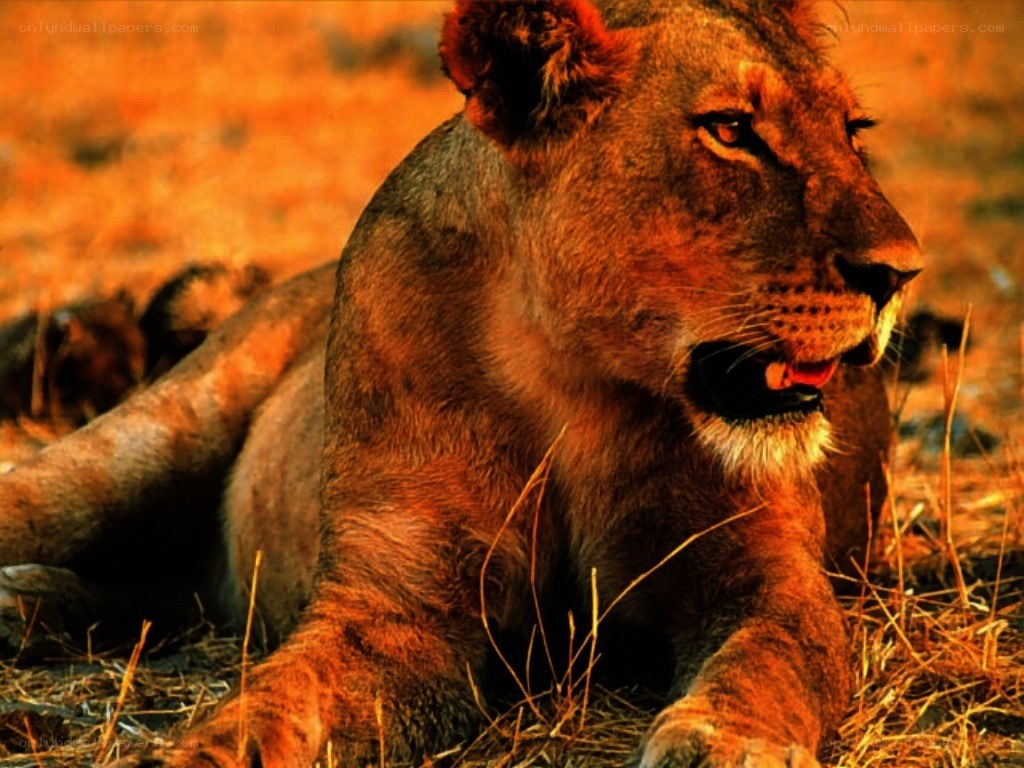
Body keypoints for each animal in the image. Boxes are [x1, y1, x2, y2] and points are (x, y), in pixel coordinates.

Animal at [0, 0, 922, 766]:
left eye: (853, 130)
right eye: (730, 129)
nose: (900, 274)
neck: (574, 382)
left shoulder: (763, 571)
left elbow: (770, 660)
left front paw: (727, 743)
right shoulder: (396, 608)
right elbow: (277, 701)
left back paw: (27, 601)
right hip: (146, 441)